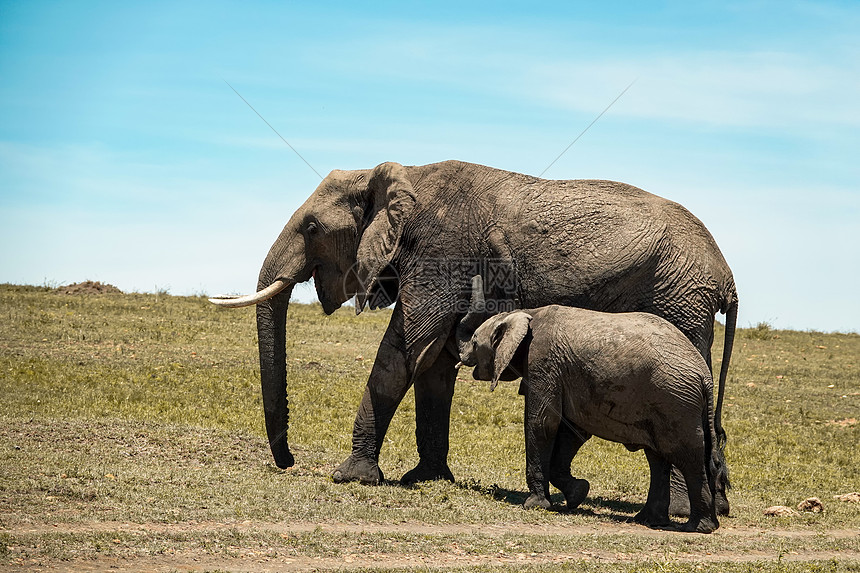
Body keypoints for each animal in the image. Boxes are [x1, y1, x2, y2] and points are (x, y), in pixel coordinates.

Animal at [460, 286, 724, 532]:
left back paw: (697, 527)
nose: (462, 354)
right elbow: (572, 431)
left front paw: (535, 505)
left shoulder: (543, 360)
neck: (526, 314)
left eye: (474, 340)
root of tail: (705, 377)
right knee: (658, 457)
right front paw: (578, 493)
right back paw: (650, 520)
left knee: (686, 457)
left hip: (676, 402)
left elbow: (543, 423)